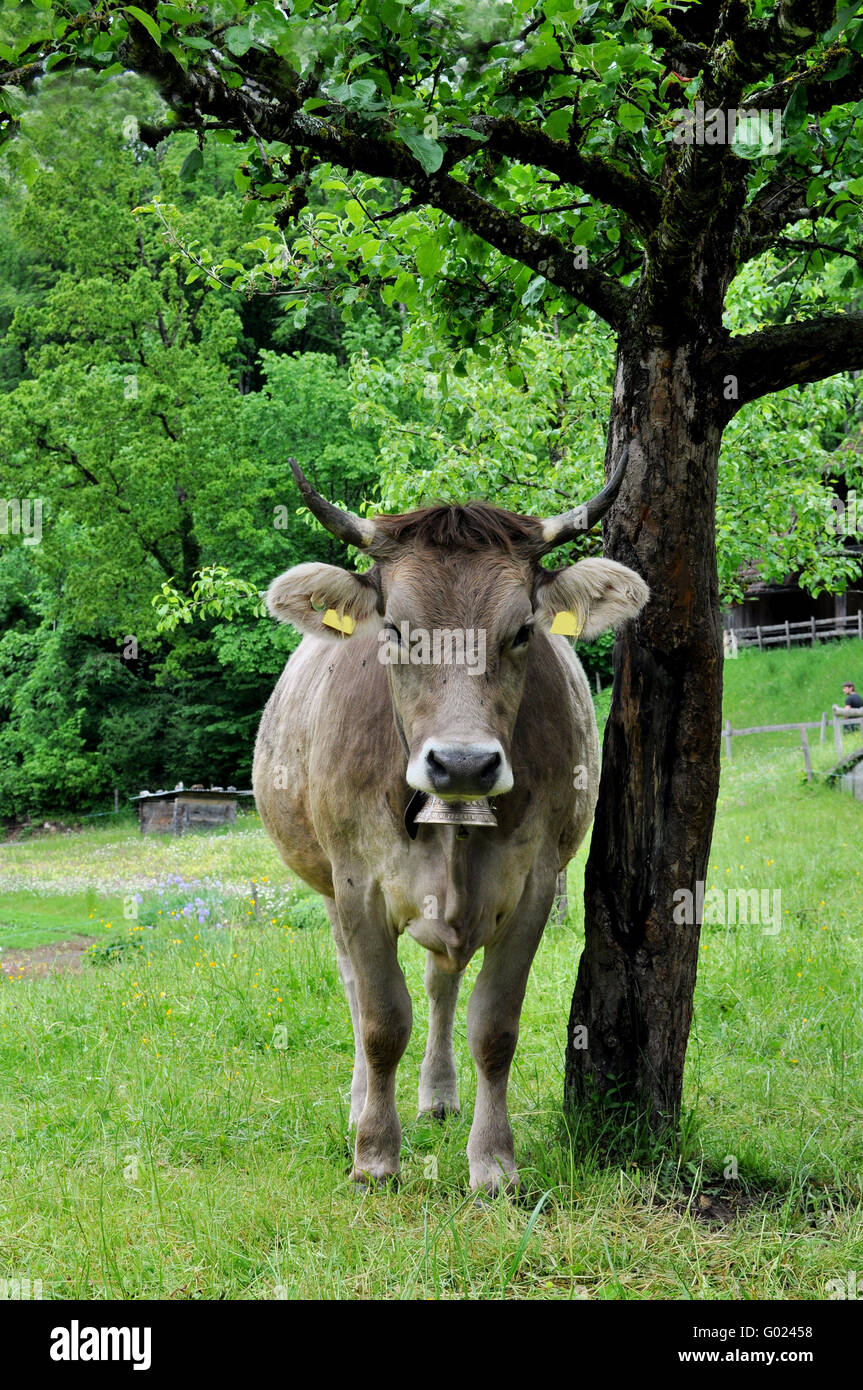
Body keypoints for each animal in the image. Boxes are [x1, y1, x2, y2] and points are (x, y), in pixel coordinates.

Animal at [252, 455, 650, 1195]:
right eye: (394, 631)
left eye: (522, 630)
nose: (463, 761)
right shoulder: (358, 886)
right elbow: (381, 1020)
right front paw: (375, 1155)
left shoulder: (533, 885)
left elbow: (492, 1027)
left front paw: (493, 1163)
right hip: (327, 886)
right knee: (355, 988)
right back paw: (360, 1102)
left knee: (441, 984)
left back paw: (438, 1095)